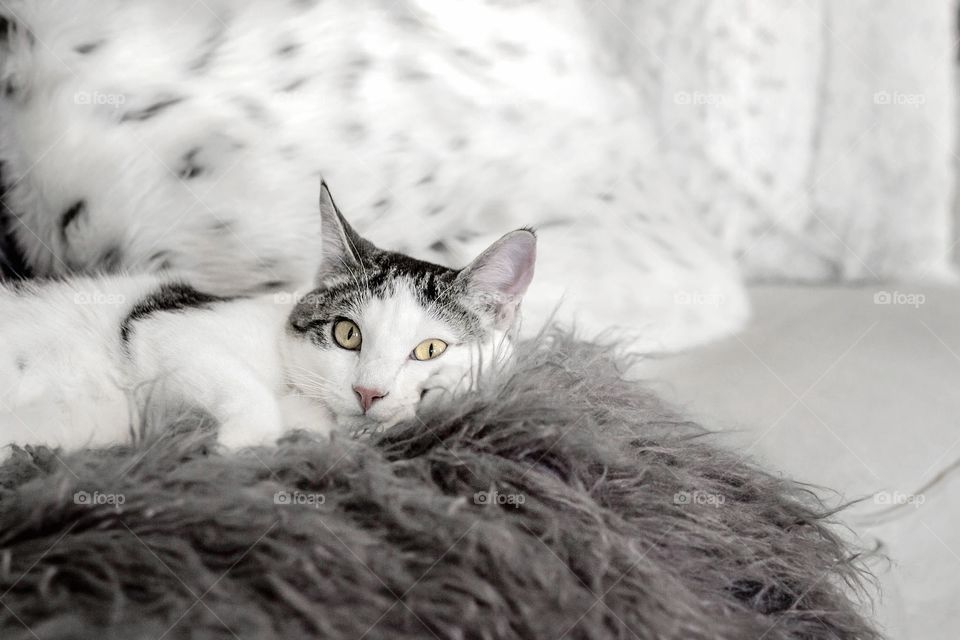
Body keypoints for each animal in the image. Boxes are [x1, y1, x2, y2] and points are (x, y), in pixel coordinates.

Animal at [0, 181, 536, 456]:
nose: (368, 393)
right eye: (347, 333)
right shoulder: (161, 323)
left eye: (430, 350)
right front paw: (245, 444)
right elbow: (240, 386)